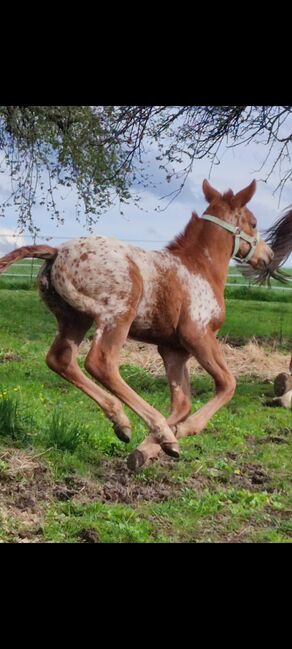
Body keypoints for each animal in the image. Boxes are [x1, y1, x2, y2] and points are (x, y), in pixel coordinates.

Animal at [0, 180, 274, 468]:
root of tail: (58, 253)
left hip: (74, 319)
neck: (200, 268)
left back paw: (122, 423)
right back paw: (140, 424)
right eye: (254, 223)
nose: (268, 256)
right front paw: (176, 432)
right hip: (118, 315)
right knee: (100, 363)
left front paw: (151, 448)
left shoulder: (174, 350)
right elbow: (227, 384)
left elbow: (182, 404)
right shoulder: (198, 334)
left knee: (60, 359)